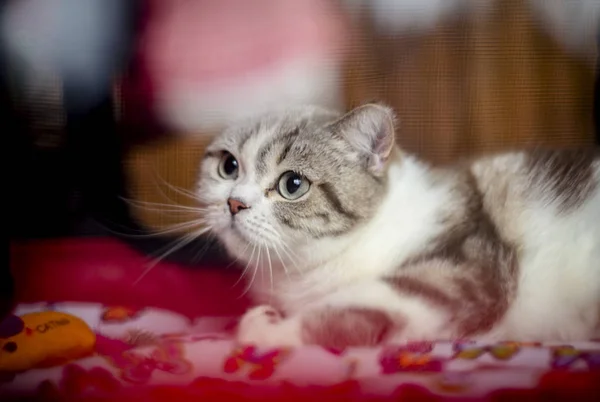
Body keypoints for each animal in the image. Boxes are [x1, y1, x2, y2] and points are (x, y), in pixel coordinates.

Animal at [198, 103, 600, 348]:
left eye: (292, 185)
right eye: (229, 166)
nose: (234, 202)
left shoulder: (464, 274)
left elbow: (351, 305)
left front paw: (268, 331)